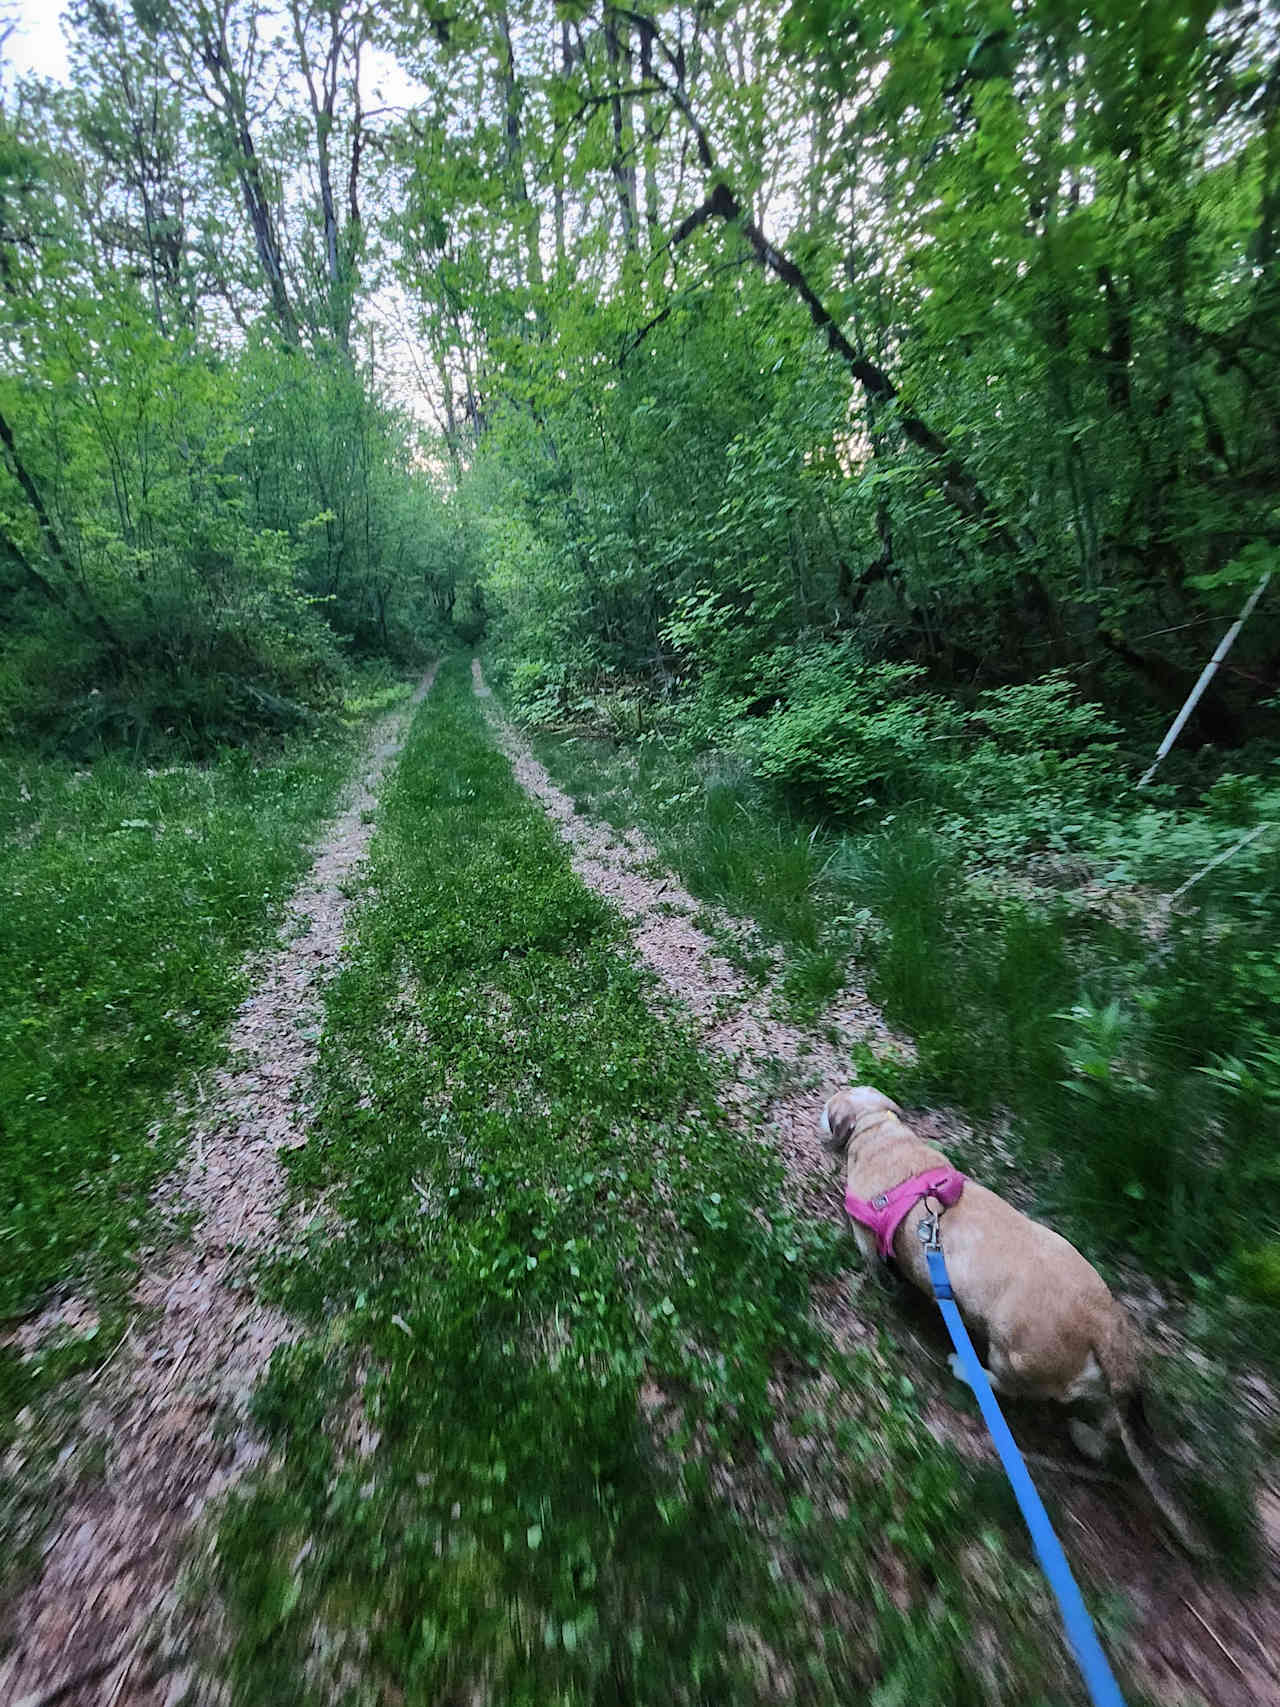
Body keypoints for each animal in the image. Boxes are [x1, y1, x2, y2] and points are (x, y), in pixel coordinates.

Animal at [826, 1092, 1201, 1549]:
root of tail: (1101, 1320)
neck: (879, 1131)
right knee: (1111, 1423)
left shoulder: (865, 1236)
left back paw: (965, 1368)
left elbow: (872, 1264)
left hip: (1010, 1352)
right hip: (1100, 1379)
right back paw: (1088, 1437)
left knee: (1007, 1385)